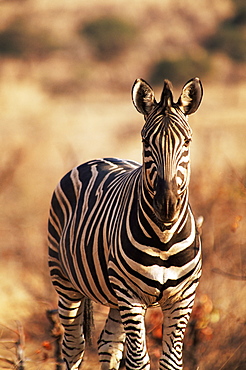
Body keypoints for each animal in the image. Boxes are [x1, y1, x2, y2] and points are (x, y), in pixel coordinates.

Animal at [48, 76, 204, 368]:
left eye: (187, 141)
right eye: (145, 142)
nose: (166, 205)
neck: (164, 236)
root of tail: (99, 158)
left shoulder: (182, 299)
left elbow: (170, 361)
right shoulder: (131, 296)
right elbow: (139, 361)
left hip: (113, 295)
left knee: (108, 344)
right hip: (65, 281)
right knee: (73, 346)